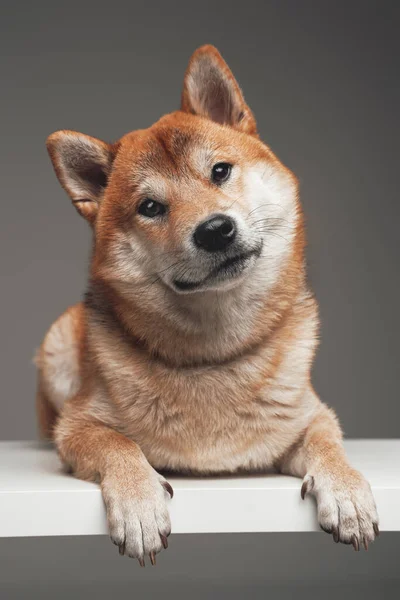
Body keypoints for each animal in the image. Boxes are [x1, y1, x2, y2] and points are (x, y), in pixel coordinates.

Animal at [36, 45, 380, 564]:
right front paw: (139, 503)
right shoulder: (77, 426)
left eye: (219, 171)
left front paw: (347, 493)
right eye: (150, 207)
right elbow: (117, 443)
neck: (214, 355)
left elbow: (330, 445)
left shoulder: (311, 414)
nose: (215, 230)